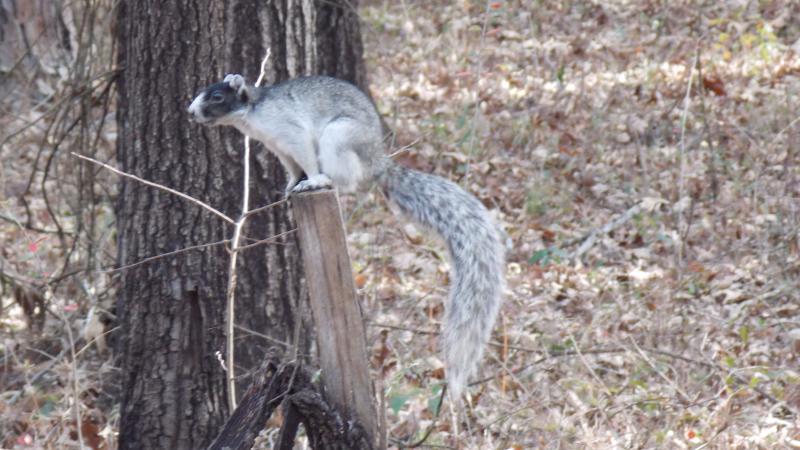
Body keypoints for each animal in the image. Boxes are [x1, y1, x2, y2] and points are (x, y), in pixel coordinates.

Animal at [188, 74, 506, 398]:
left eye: (216, 97)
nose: (191, 113)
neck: (252, 113)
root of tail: (377, 160)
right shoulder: (281, 150)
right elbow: (293, 169)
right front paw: (291, 185)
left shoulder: (291, 132)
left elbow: (306, 157)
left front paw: (310, 179)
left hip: (339, 137)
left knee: (345, 179)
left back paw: (323, 181)